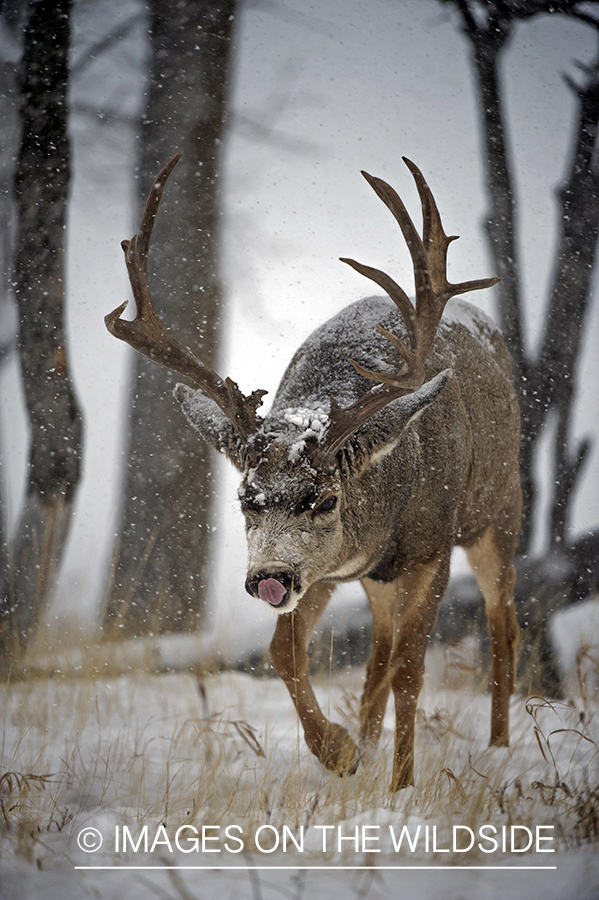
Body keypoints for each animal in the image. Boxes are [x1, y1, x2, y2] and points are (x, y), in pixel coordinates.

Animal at [106, 154, 521, 791]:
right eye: (246, 498)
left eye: (324, 499)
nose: (266, 578)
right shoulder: (322, 571)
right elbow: (286, 653)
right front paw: (341, 752)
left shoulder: (431, 548)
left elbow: (411, 670)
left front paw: (401, 787)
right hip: (373, 577)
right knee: (379, 647)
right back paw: (368, 745)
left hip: (497, 509)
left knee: (501, 621)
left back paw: (498, 750)